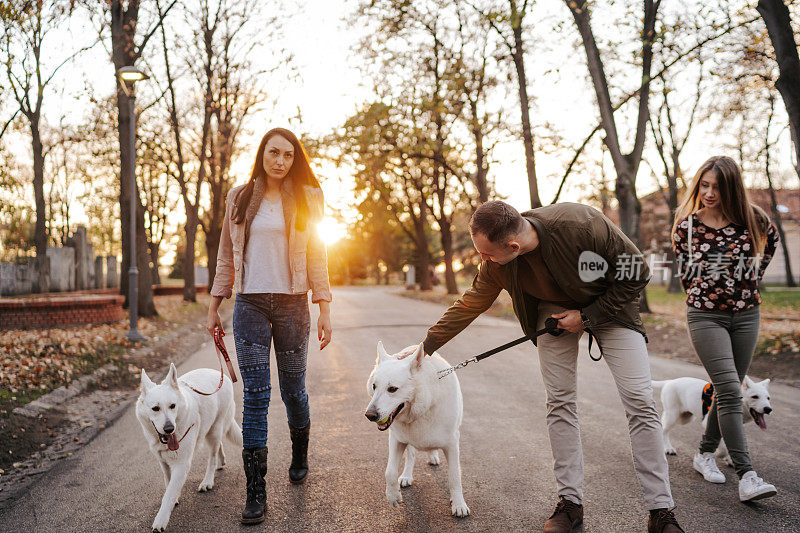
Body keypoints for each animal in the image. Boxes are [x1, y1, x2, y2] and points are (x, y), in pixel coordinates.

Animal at [137, 364, 241, 528]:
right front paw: (175, 498)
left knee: (212, 457)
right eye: (155, 408)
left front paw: (161, 520)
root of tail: (221, 374)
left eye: (172, 406)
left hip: (214, 431)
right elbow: (168, 483)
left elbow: (168, 494)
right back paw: (221, 461)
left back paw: (208, 480)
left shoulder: (182, 465)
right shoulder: (163, 462)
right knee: (219, 445)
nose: (169, 429)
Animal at [368, 340, 472, 516]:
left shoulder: (452, 444)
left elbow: (454, 476)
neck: (424, 406)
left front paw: (458, 504)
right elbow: (389, 471)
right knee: (411, 456)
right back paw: (406, 475)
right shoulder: (396, 440)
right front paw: (393, 496)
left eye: (392, 389)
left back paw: (432, 455)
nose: (369, 415)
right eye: (374, 386)